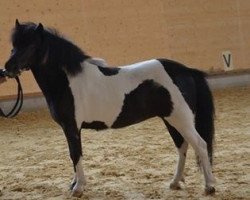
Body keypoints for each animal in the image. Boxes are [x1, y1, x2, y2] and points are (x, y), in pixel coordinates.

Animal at [4, 20, 215, 197]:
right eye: (14, 45)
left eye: (31, 45)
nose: (7, 68)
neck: (67, 81)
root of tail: (187, 71)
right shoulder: (70, 128)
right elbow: (73, 155)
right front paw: (74, 184)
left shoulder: (72, 127)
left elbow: (75, 154)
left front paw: (78, 188)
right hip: (170, 119)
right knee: (182, 146)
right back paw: (175, 182)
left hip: (181, 119)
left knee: (200, 145)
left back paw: (209, 186)